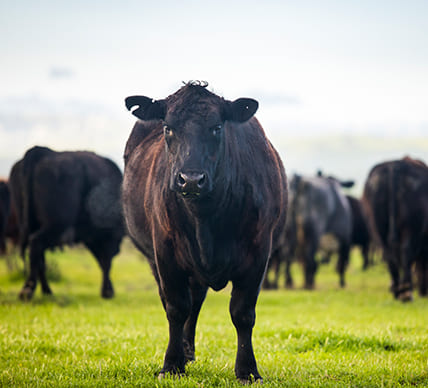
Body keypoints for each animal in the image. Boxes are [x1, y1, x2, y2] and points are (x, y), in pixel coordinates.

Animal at [9, 146, 125, 300]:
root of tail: (42, 151)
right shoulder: (106, 238)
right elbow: (105, 262)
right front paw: (107, 291)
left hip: (30, 224)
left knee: (39, 256)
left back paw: (47, 291)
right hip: (56, 226)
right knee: (36, 245)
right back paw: (28, 291)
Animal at [121, 81, 288, 382]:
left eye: (217, 127)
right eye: (168, 127)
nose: (191, 179)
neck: (205, 219)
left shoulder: (259, 252)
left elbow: (243, 313)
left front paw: (247, 370)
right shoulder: (165, 252)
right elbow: (176, 308)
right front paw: (171, 365)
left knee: (196, 300)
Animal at [362, 156, 428, 302]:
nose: (423, 291)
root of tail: (395, 166)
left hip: (378, 229)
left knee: (389, 256)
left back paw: (397, 291)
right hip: (410, 229)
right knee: (406, 252)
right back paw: (407, 293)